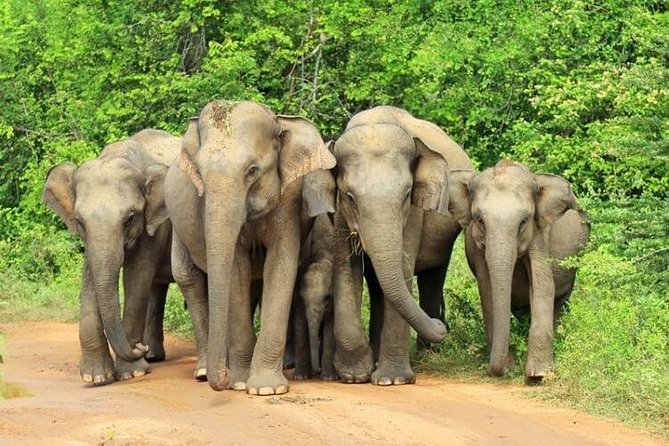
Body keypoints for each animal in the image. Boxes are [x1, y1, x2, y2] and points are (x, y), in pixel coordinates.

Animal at [42, 129, 180, 385]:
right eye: (79, 221)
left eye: (130, 218)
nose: (139, 347)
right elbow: (89, 278)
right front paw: (95, 377)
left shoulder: (154, 223)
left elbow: (137, 276)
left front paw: (133, 372)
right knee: (157, 287)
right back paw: (153, 356)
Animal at [164, 100, 336, 395]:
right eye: (200, 174)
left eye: (252, 170)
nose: (222, 378)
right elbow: (236, 268)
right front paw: (240, 383)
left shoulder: (289, 199)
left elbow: (280, 264)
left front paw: (267, 389)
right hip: (178, 226)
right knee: (189, 278)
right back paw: (204, 371)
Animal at [331, 105, 474, 385]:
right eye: (350, 197)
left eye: (407, 194)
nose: (440, 326)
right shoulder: (340, 214)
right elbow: (346, 268)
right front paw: (355, 375)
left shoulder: (414, 215)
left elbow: (404, 268)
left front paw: (392, 380)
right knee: (379, 288)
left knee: (432, 278)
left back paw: (427, 354)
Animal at [461, 160, 590, 380]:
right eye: (479, 219)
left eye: (524, 221)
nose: (501, 370)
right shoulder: (476, 246)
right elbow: (486, 292)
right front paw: (511, 366)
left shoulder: (539, 234)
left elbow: (543, 286)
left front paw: (538, 375)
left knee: (560, 303)